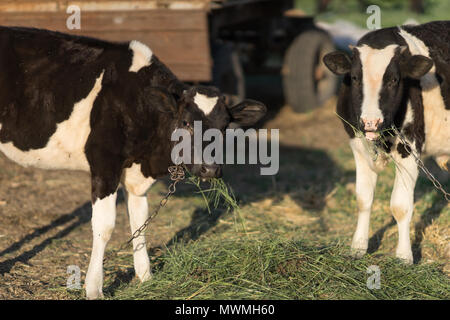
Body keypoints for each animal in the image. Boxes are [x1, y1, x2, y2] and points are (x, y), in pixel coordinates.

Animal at [0, 26, 266, 298]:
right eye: (186, 123)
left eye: (225, 127)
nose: (210, 169)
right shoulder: (104, 161)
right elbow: (105, 226)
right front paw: (94, 288)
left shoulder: (136, 175)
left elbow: (140, 220)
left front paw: (146, 277)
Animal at [324, 21, 450, 264]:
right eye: (355, 78)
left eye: (394, 79)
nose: (370, 121)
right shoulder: (357, 145)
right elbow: (363, 199)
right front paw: (358, 247)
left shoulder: (409, 148)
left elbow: (400, 206)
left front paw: (403, 257)